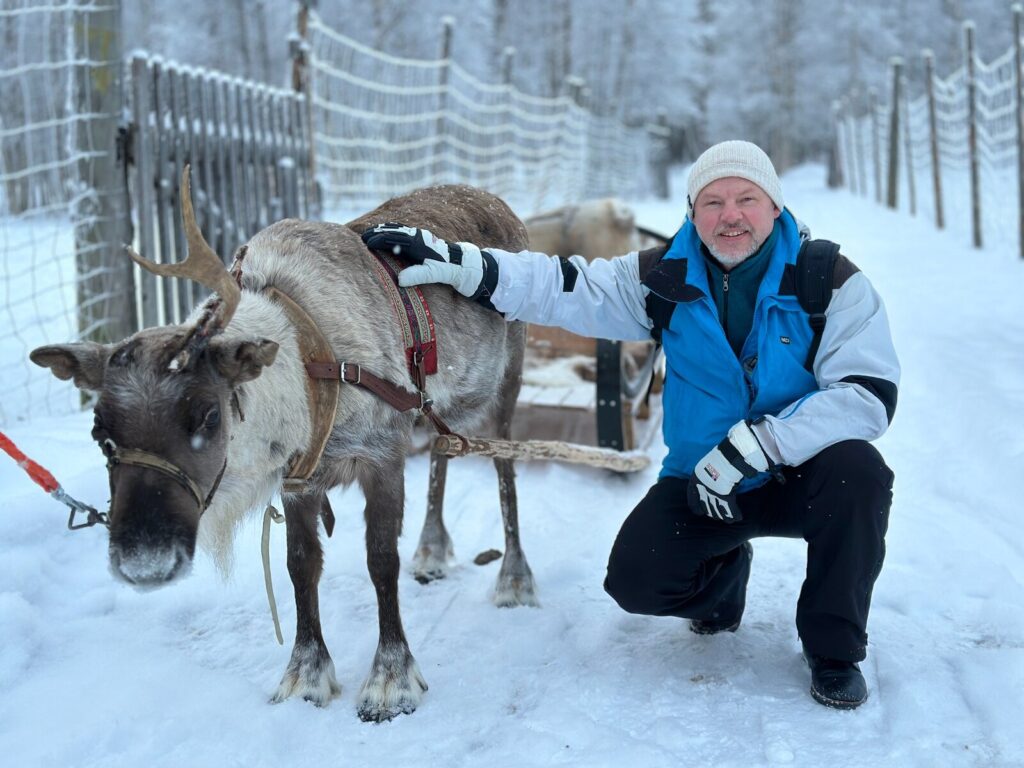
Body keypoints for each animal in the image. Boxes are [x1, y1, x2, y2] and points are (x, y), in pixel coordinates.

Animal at [29, 168, 537, 722]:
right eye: (101, 433)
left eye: (208, 414)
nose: (144, 563)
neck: (309, 364)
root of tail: (496, 201)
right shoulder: (300, 477)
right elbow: (300, 566)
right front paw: (306, 675)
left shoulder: (381, 454)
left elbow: (381, 561)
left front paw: (391, 681)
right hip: (436, 406)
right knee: (445, 451)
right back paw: (431, 550)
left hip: (505, 386)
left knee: (505, 474)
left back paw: (514, 578)